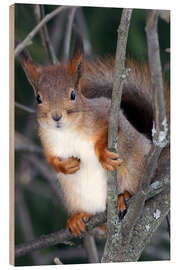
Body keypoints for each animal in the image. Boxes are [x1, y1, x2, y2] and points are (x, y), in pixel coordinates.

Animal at [17, 39, 169, 235]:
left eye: (73, 94)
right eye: (38, 98)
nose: (56, 117)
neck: (67, 131)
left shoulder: (105, 113)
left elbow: (111, 131)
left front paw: (103, 155)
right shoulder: (47, 140)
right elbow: (50, 159)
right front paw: (65, 166)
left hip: (136, 169)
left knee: (134, 189)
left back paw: (123, 197)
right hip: (73, 195)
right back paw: (78, 218)